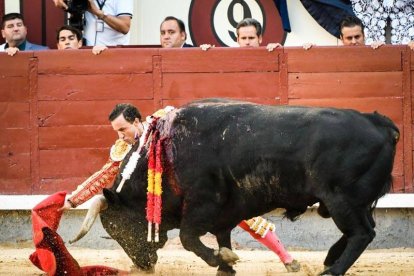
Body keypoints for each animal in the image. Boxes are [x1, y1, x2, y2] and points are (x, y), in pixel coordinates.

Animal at [75, 100, 402, 274]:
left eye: (117, 227)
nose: (142, 265)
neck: (167, 149)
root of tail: (378, 122)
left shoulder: (202, 203)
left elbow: (189, 238)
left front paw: (221, 260)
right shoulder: (224, 212)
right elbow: (222, 237)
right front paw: (226, 264)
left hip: (342, 200)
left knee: (362, 234)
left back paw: (332, 269)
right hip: (354, 203)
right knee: (361, 231)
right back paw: (328, 259)